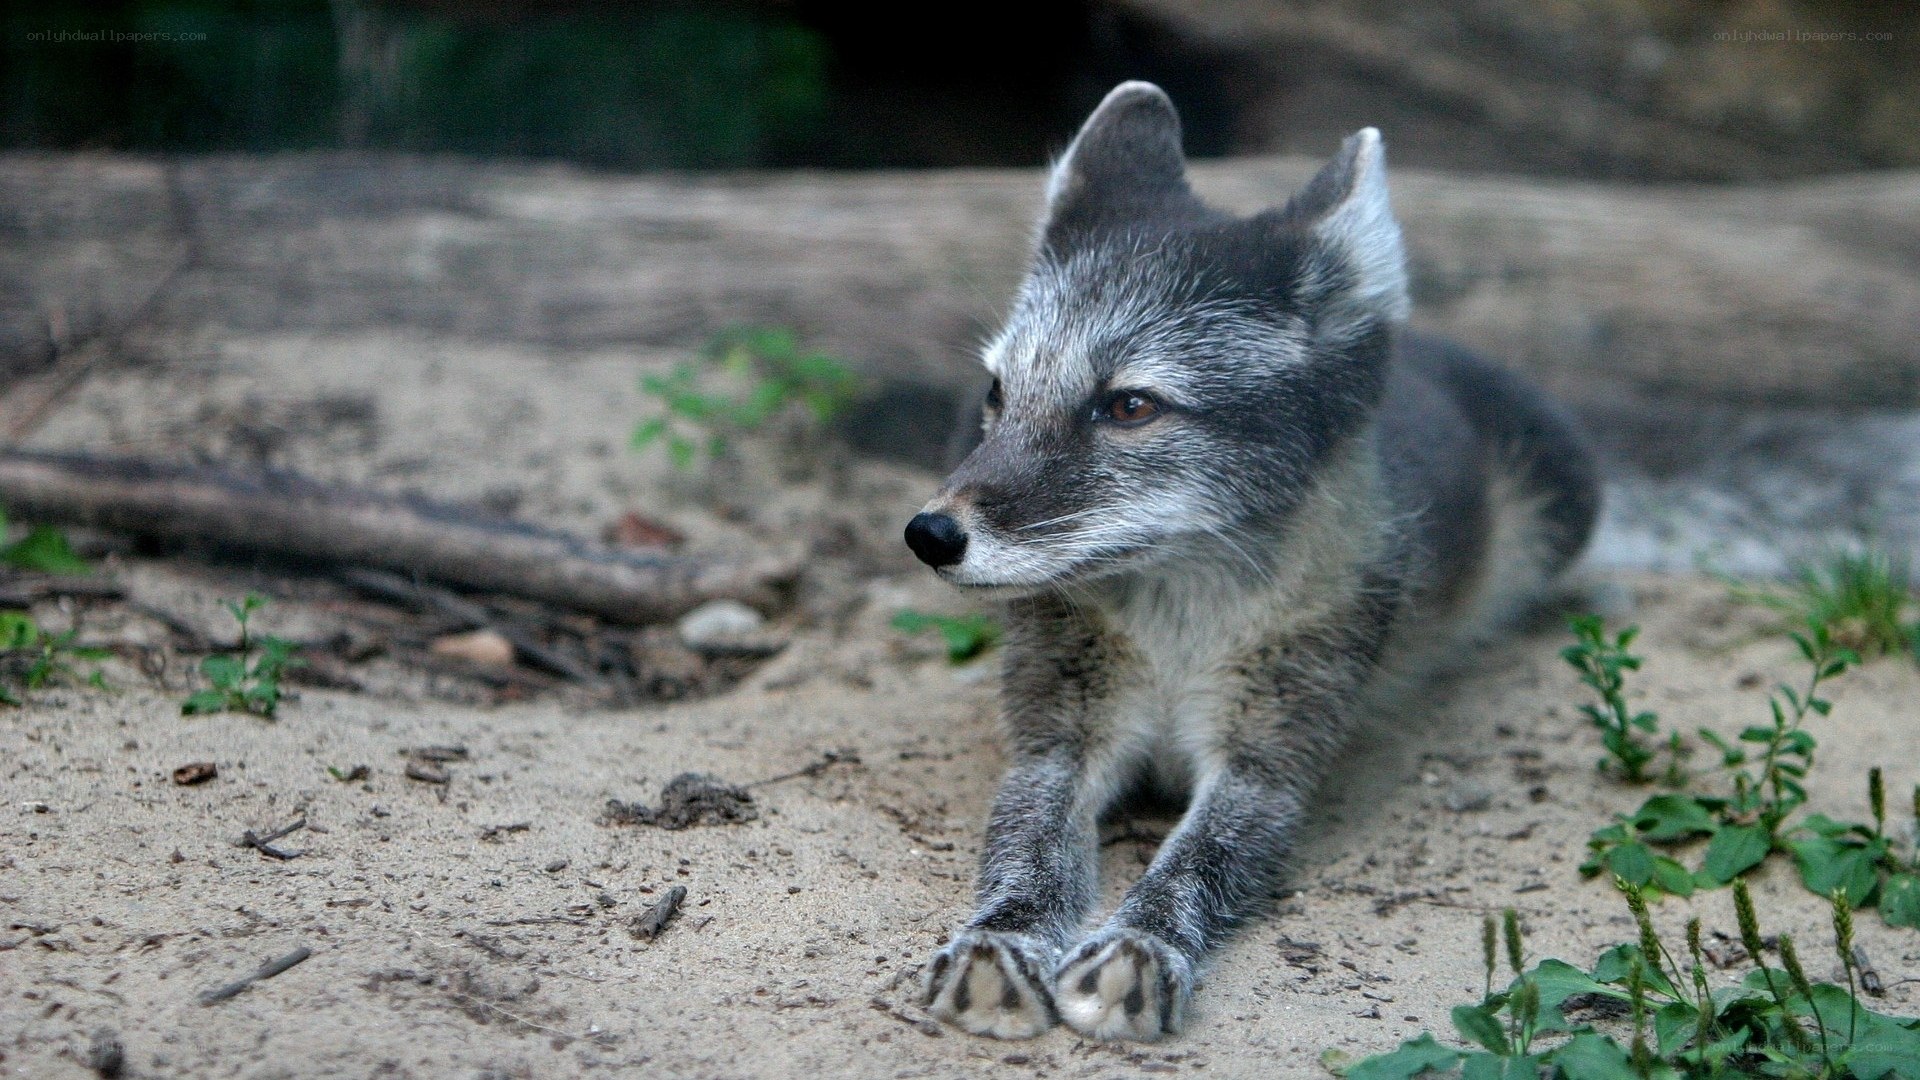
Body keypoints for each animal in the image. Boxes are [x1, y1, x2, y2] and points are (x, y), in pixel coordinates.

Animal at [900, 82, 1601, 1042]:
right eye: (998, 394)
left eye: (1130, 406)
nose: (930, 534)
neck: (1179, 631)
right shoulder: (1054, 742)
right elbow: (1025, 847)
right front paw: (1001, 940)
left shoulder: (1271, 765)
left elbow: (1199, 859)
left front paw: (1140, 945)